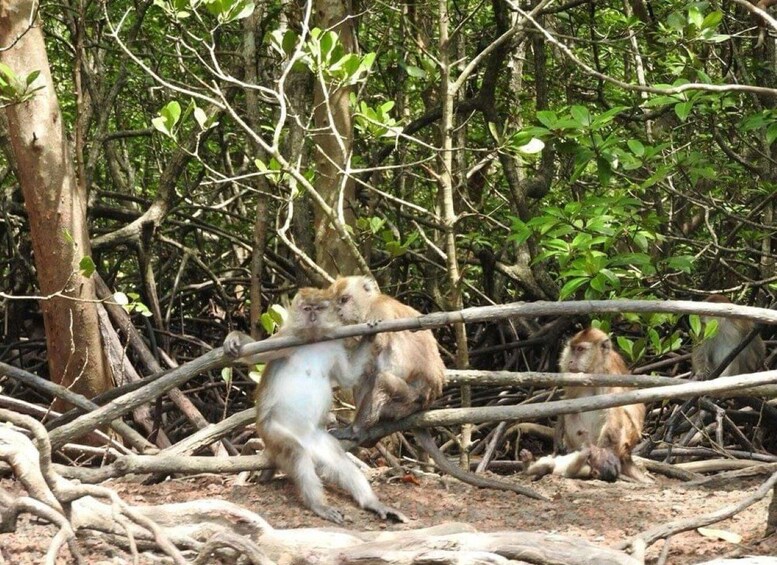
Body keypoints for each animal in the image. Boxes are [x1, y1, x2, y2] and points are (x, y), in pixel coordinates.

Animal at [221, 288, 406, 528]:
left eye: (318, 308)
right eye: (307, 308)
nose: (312, 317)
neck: (313, 341)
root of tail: (305, 440)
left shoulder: (334, 346)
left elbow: (348, 377)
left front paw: (369, 336)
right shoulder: (287, 338)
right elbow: (255, 356)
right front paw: (234, 338)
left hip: (317, 440)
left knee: (338, 460)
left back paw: (371, 503)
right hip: (273, 433)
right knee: (297, 453)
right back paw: (318, 505)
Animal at [328, 276, 446, 442]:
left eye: (344, 300)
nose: (338, 311)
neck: (369, 305)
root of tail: (428, 401)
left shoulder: (380, 311)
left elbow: (379, 342)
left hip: (410, 402)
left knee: (382, 381)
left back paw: (355, 430)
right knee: (365, 376)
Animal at [556, 328, 652, 482]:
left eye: (580, 349)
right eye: (572, 349)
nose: (570, 361)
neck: (594, 370)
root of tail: (627, 456)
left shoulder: (609, 376)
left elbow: (613, 412)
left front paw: (602, 457)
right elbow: (568, 401)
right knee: (572, 414)